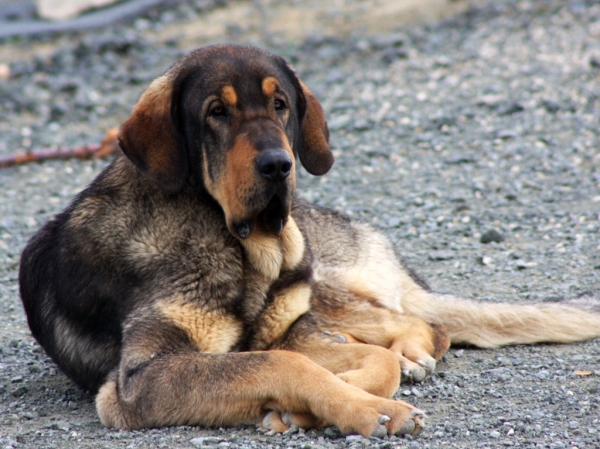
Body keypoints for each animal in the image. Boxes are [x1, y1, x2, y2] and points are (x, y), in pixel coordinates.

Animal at [16, 43, 600, 436]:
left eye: (281, 105)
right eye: (216, 112)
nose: (279, 165)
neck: (240, 245)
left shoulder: (294, 329)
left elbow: (368, 362)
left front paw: (325, 403)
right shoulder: (143, 378)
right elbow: (286, 365)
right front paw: (355, 408)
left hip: (325, 285)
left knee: (423, 324)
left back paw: (411, 354)